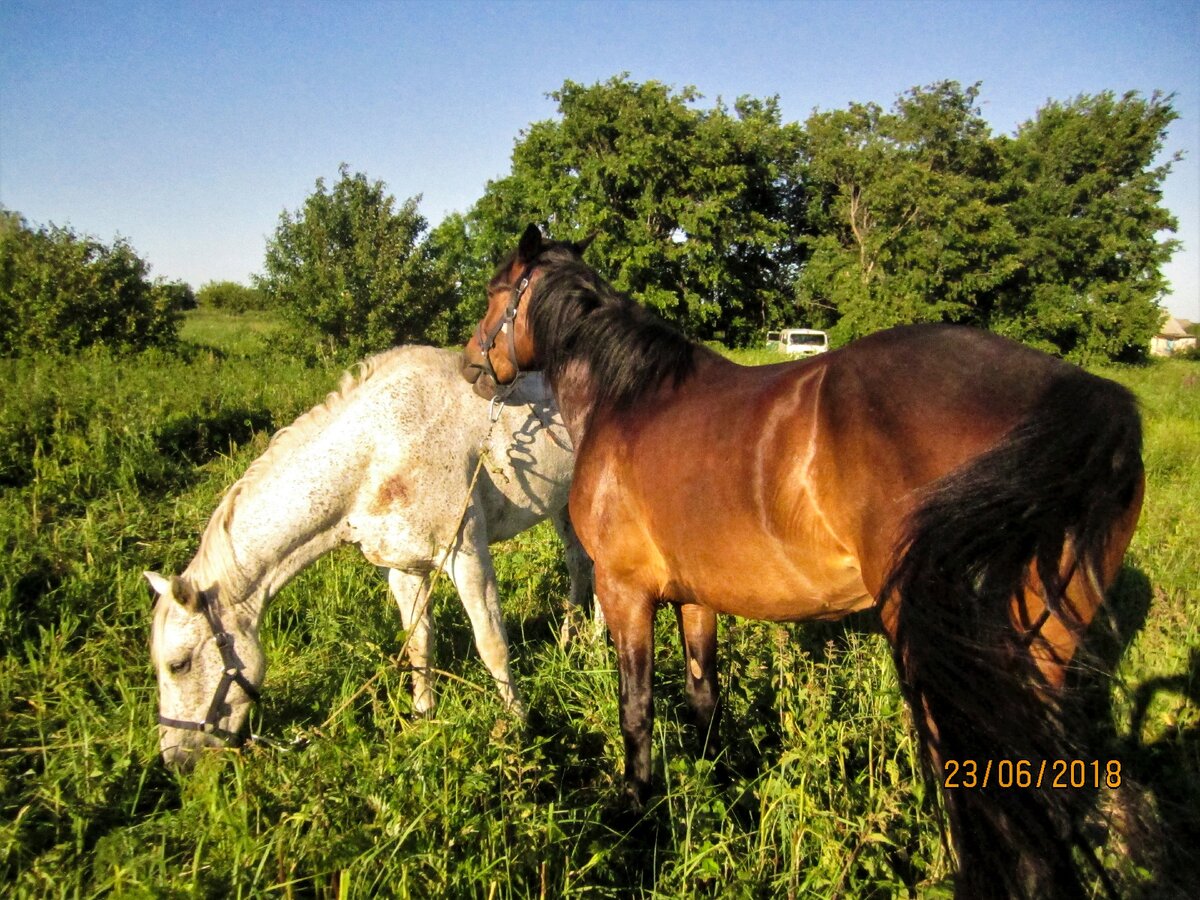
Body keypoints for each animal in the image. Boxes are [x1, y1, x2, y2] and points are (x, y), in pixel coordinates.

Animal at [147, 348, 592, 772]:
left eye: (178, 664)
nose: (175, 760)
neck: (378, 456)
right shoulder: (404, 569)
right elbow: (419, 645)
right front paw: (424, 719)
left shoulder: (466, 556)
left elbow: (492, 643)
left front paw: (518, 724)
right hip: (562, 506)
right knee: (579, 565)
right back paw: (570, 640)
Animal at [458, 226, 1142, 900]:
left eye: (494, 291)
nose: (471, 365)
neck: (628, 398)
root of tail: (1081, 395)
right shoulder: (697, 598)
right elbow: (704, 697)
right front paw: (718, 790)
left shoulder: (624, 591)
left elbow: (637, 708)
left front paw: (634, 815)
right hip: (1041, 655)